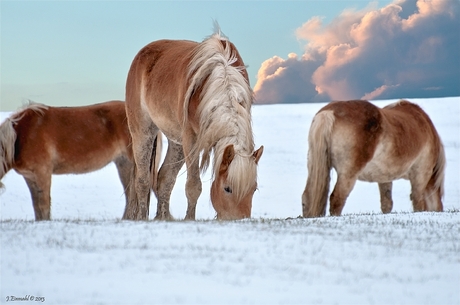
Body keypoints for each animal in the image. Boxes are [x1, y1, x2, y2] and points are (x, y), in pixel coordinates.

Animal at [0, 101, 163, 220]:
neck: (20, 136)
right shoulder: (30, 177)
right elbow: (36, 206)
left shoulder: (42, 173)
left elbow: (44, 205)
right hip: (124, 165)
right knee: (131, 195)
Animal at [124, 26, 264, 220]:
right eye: (227, 189)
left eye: (254, 189)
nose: (240, 220)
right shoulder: (191, 139)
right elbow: (193, 186)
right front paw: (190, 219)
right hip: (143, 132)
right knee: (142, 180)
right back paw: (142, 217)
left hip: (176, 142)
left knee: (164, 178)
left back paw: (162, 218)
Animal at [302, 99, 446, 216]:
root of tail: (328, 112)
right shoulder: (420, 175)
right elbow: (418, 203)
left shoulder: (385, 178)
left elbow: (387, 204)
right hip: (348, 174)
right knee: (337, 199)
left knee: (307, 197)